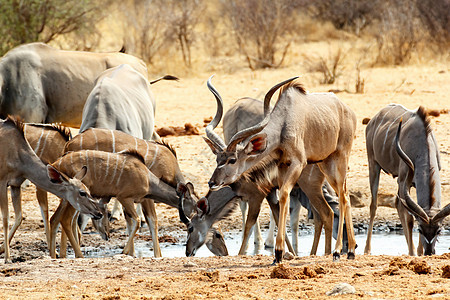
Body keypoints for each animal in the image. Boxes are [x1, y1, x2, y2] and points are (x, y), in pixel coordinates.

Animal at [0, 117, 101, 262]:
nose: (98, 213)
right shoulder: (3, 183)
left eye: (88, 190)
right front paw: (7, 258)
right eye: (82, 193)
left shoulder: (15, 185)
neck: (18, 151)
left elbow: (19, 216)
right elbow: (6, 218)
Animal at [205, 77, 358, 262]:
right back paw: (348, 251)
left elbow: (284, 195)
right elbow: (279, 207)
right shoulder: (281, 166)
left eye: (232, 160)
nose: (212, 182)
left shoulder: (298, 163)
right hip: (325, 164)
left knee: (342, 196)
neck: (284, 123)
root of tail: (348, 110)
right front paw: (280, 253)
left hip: (340, 157)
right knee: (345, 195)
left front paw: (278, 252)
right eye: (217, 159)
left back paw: (340, 251)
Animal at [364, 103, 448, 255]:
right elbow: (409, 218)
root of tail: (374, 119)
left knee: (398, 203)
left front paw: (418, 252)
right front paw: (412, 253)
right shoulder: (404, 180)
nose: (429, 252)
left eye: (438, 230)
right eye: (420, 230)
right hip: (373, 164)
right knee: (373, 205)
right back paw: (367, 250)